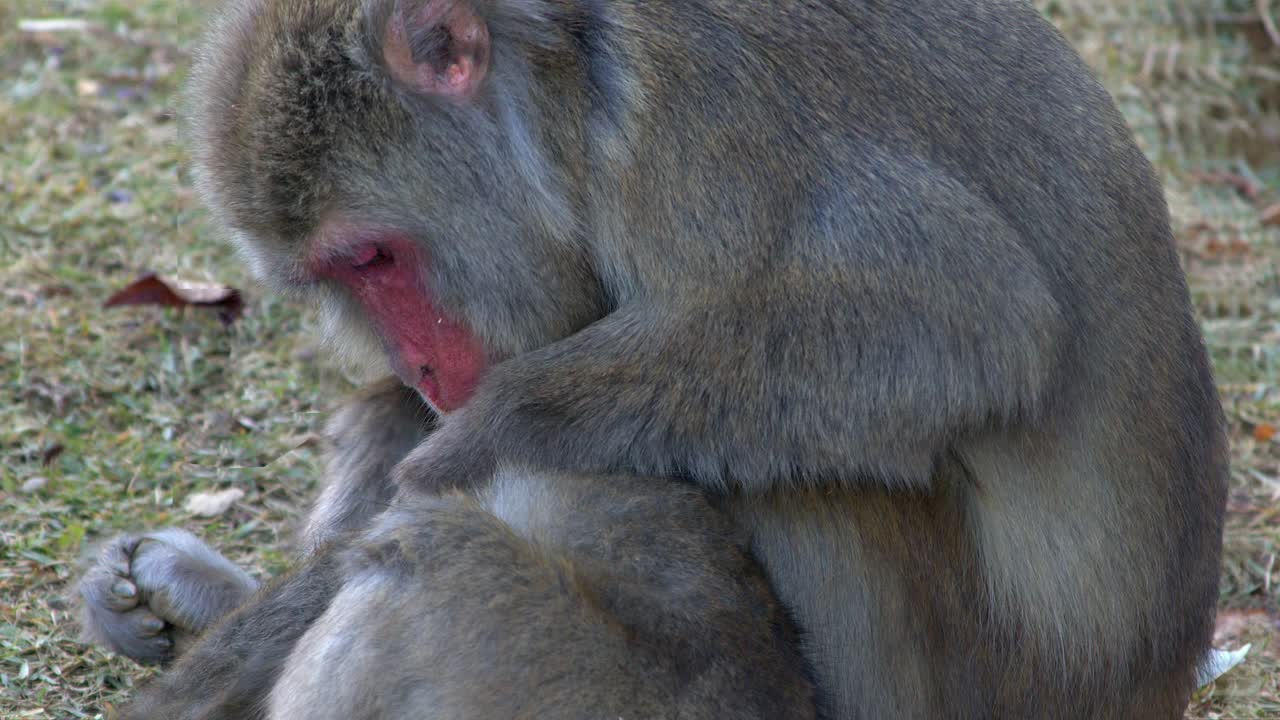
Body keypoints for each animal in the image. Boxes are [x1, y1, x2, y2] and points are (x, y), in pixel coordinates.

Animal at [77, 0, 1229, 718]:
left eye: (374, 256)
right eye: (339, 278)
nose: (428, 369)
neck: (565, 81)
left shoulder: (700, 127)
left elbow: (967, 317)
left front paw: (486, 433)